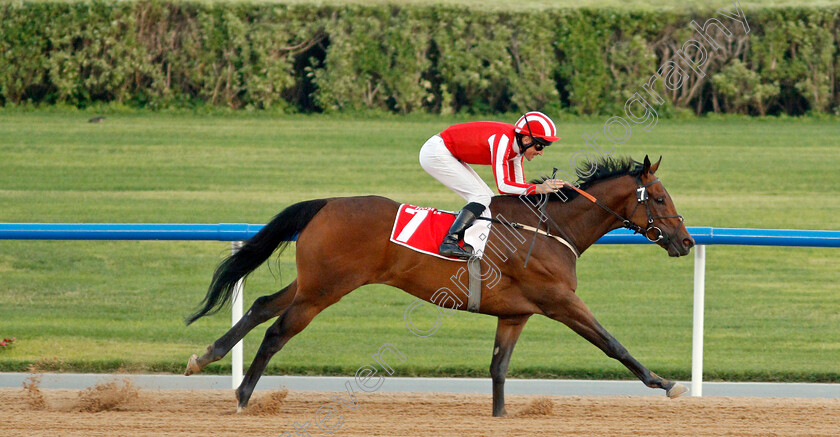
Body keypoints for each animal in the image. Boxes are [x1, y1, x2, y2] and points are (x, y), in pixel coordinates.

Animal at [185, 155, 696, 414]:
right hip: (325, 289)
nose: (688, 241)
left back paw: (204, 357)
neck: (553, 228)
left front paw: (500, 417)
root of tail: (326, 202)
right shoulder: (560, 301)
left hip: (313, 281)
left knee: (261, 305)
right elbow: (612, 343)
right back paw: (243, 397)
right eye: (661, 198)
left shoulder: (515, 313)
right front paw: (665, 382)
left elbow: (498, 368)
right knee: (277, 331)